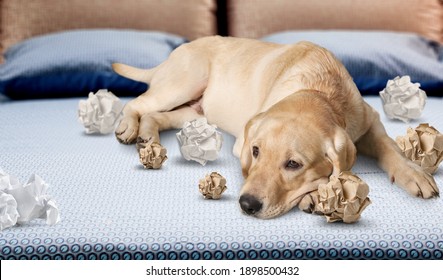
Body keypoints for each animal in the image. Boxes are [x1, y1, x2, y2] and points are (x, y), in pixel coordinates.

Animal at [112, 35, 438, 219]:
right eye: (256, 151)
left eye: (294, 164)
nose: (247, 204)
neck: (318, 89)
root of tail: (176, 52)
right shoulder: (242, 142)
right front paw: (314, 194)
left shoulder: (370, 121)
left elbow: (390, 148)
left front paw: (414, 173)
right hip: (187, 80)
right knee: (138, 104)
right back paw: (128, 127)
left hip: (197, 112)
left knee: (155, 115)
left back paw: (148, 138)